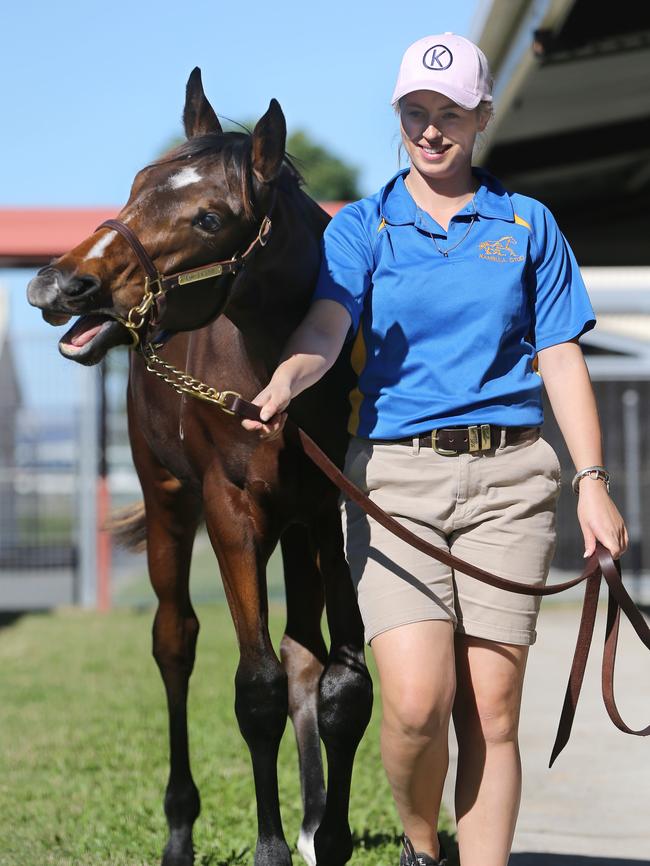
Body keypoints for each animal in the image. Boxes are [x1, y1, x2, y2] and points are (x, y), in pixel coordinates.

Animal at [26, 69, 370, 864]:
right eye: (136, 185)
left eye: (211, 219)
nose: (59, 286)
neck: (286, 382)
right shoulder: (230, 510)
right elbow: (256, 688)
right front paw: (271, 849)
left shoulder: (335, 515)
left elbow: (342, 688)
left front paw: (327, 836)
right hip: (169, 503)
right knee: (175, 641)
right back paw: (180, 829)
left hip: (297, 531)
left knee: (304, 654)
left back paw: (312, 820)